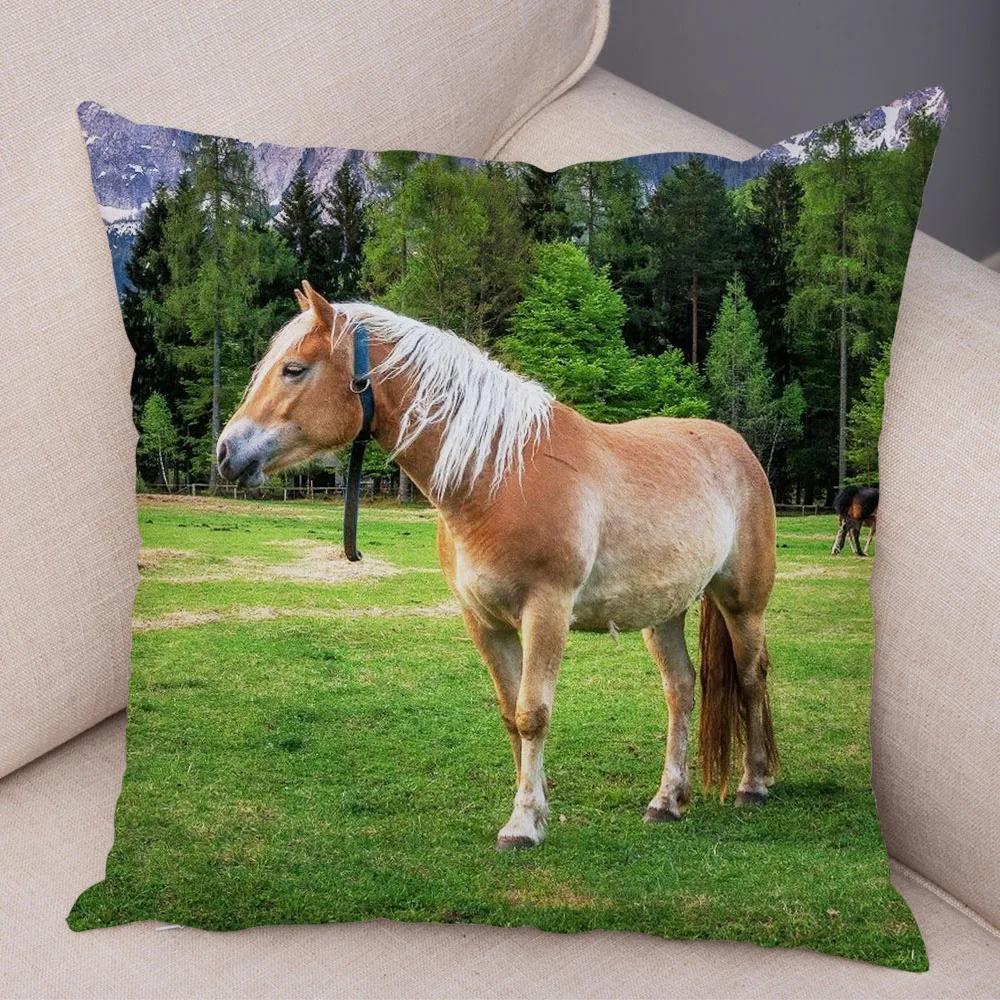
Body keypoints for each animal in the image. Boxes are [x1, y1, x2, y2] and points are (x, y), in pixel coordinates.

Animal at [217, 282, 779, 851]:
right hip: (662, 612)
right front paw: (537, 803)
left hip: (742, 603)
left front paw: (523, 823)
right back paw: (667, 800)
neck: (497, 475)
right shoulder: (483, 621)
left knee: (751, 675)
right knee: (681, 689)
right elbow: (511, 714)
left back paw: (753, 784)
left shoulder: (546, 612)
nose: (226, 452)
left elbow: (534, 714)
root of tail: (736, 448)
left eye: (293, 369)